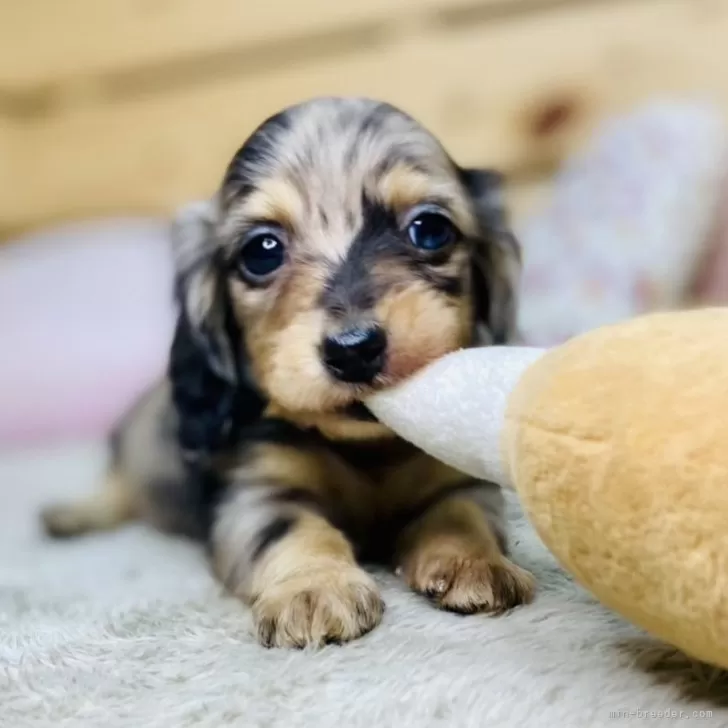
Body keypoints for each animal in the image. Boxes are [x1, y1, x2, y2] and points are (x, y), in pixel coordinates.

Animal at [44, 96, 536, 648]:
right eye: (262, 251)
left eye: (430, 229)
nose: (354, 349)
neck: (364, 450)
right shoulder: (257, 492)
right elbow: (294, 530)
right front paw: (315, 587)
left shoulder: (452, 479)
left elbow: (462, 514)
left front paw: (477, 563)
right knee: (116, 487)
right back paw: (71, 514)